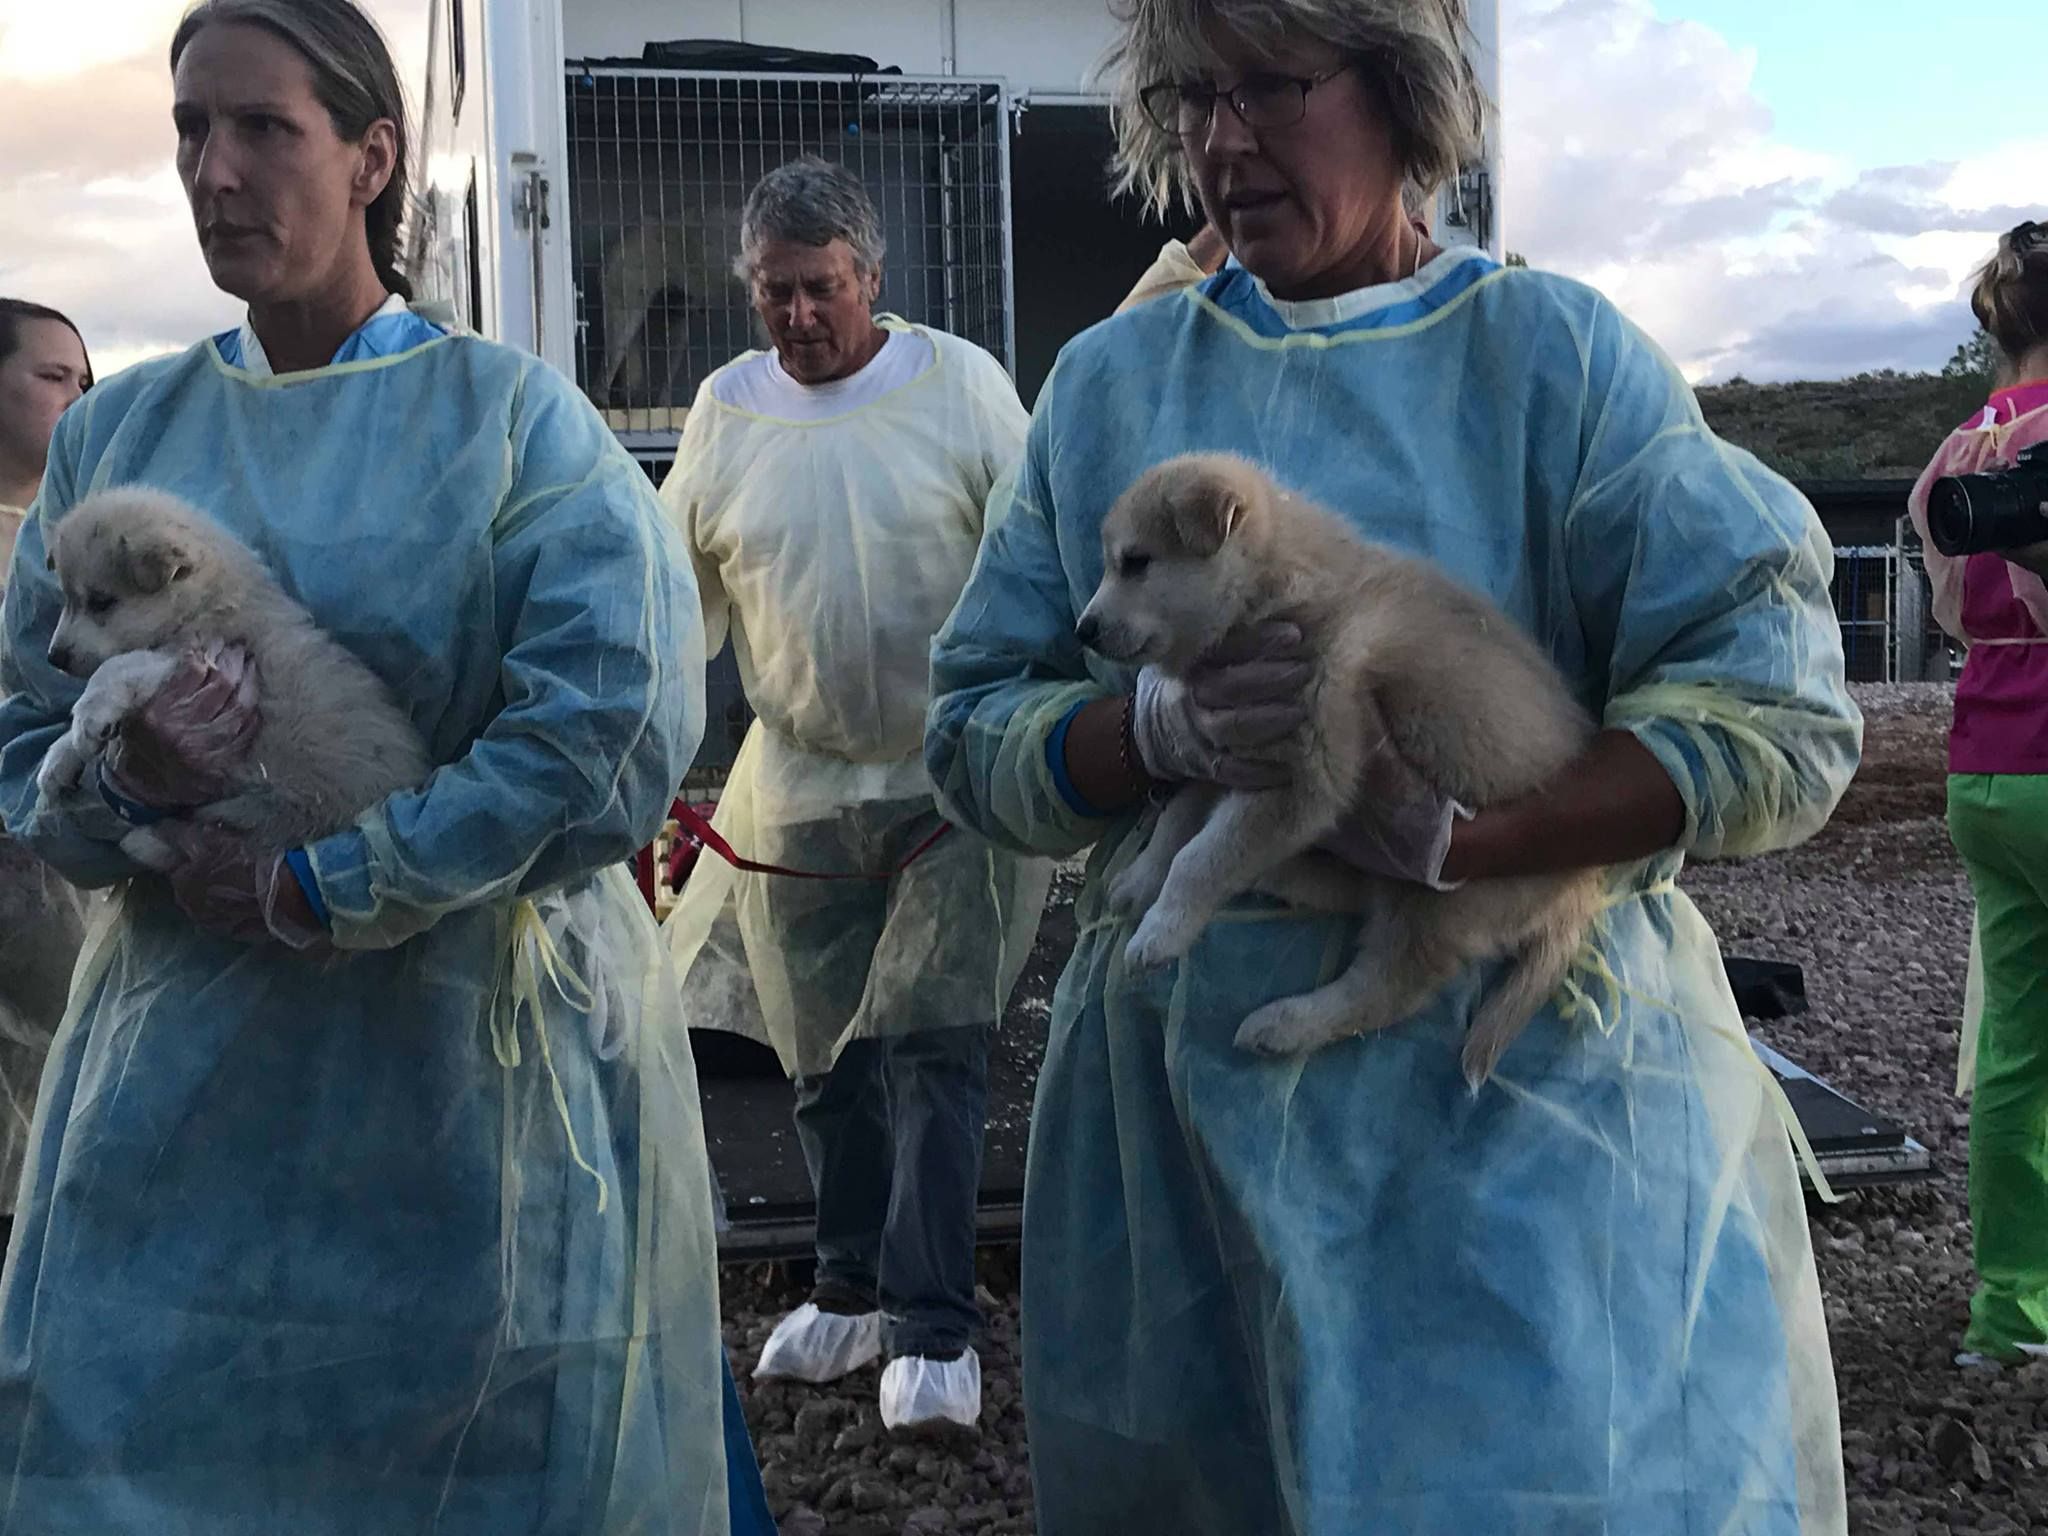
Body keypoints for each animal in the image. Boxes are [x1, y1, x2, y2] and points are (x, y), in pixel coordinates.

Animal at [1081, 450, 1605, 1089]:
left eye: (1135, 562)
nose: (1083, 628)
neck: (1274, 594)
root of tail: (1582, 886)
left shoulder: (1299, 778)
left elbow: (1201, 858)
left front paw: (1161, 931)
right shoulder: (1219, 746)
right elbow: (1177, 822)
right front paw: (1140, 880)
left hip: (1436, 901)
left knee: (1385, 988)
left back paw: (1284, 1023)